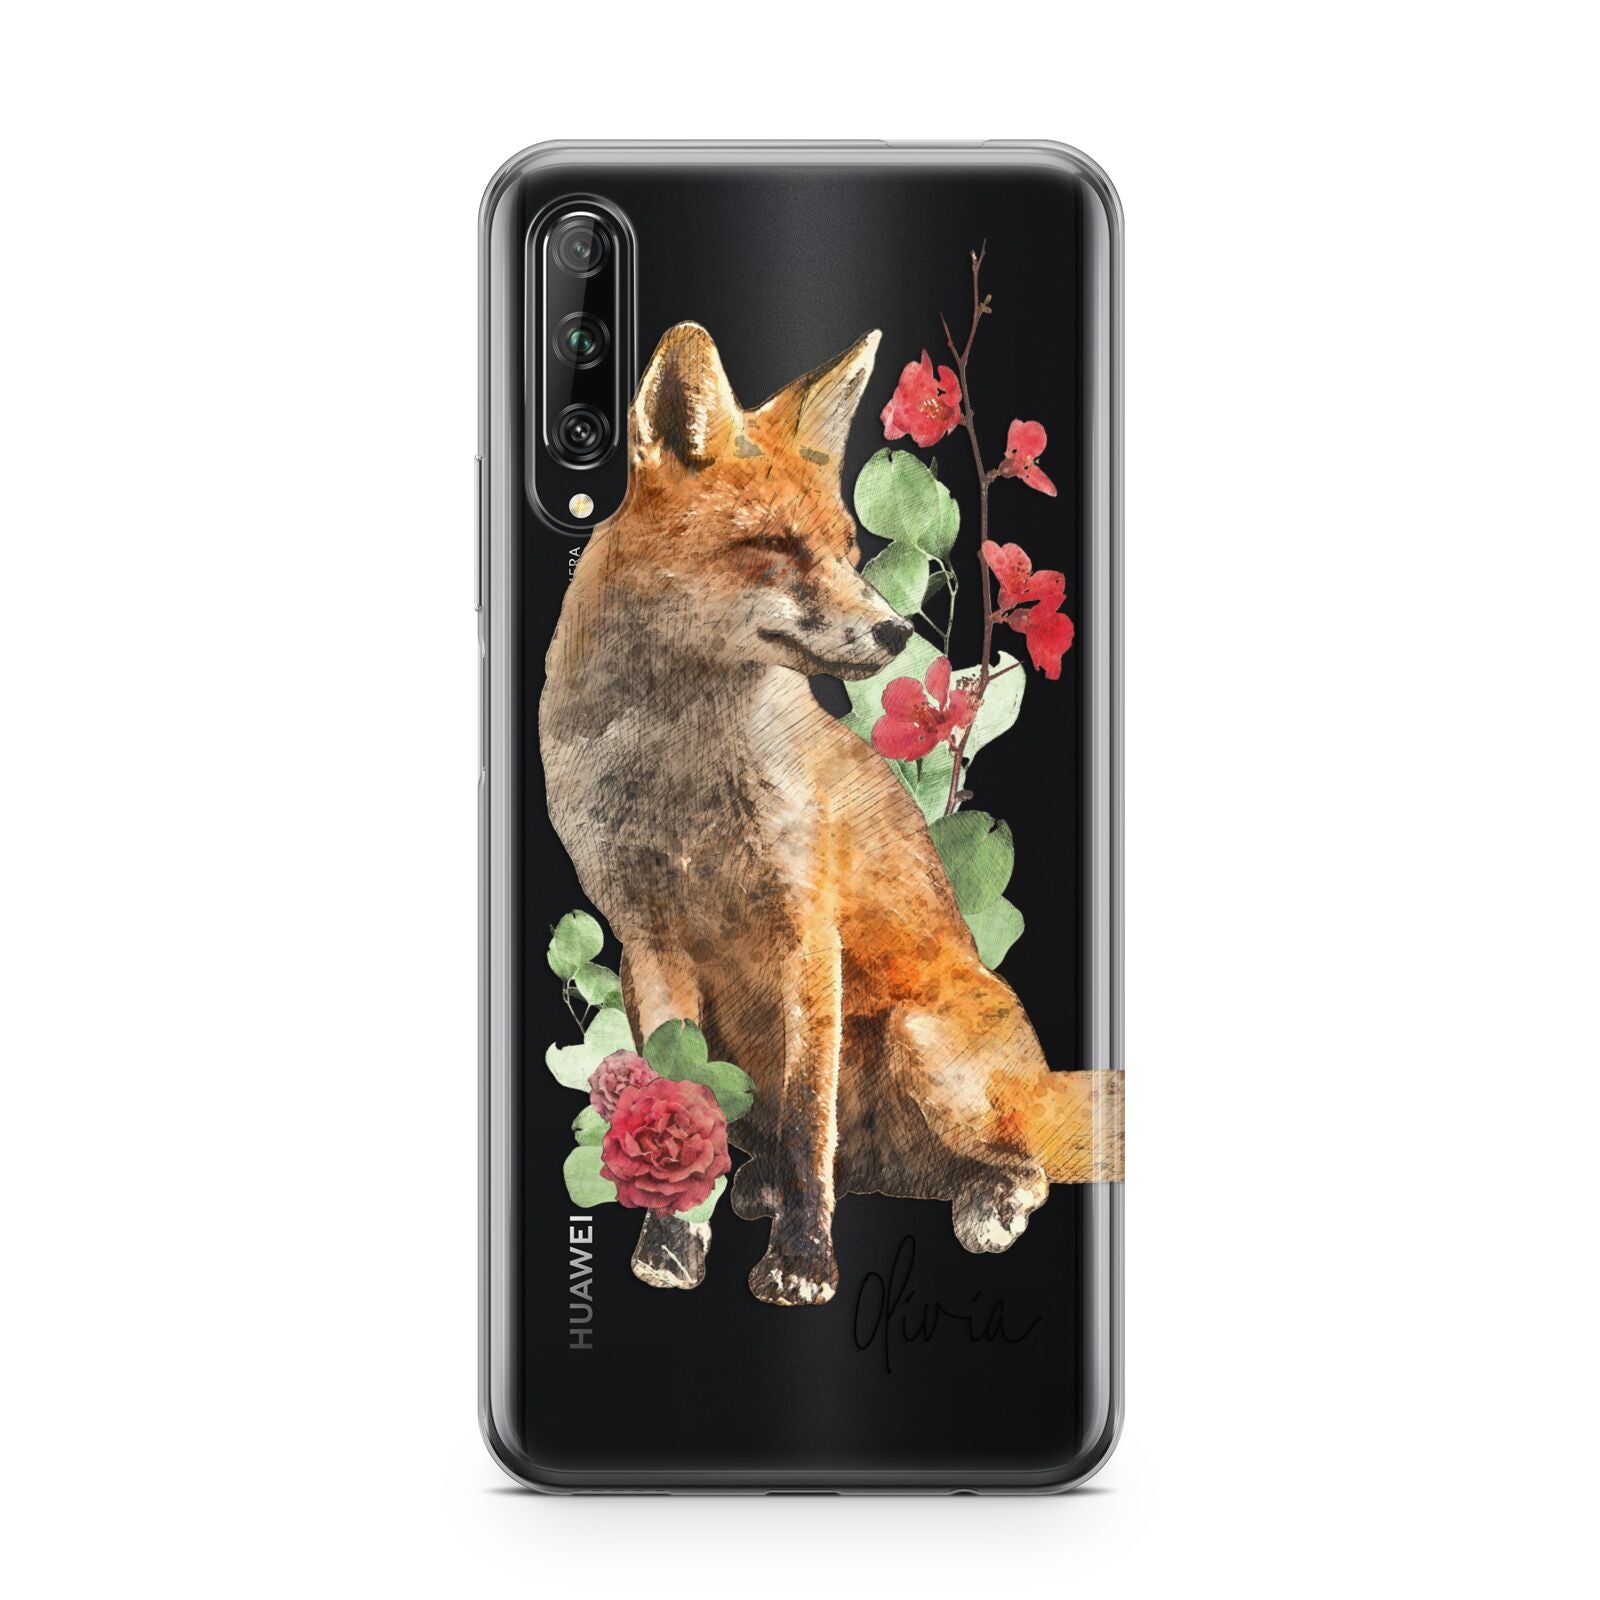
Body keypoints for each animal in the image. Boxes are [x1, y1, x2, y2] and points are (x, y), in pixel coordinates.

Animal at [539, 323, 1123, 1308]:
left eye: (849, 547)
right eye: (775, 544)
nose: (895, 633)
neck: (676, 777)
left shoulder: (807, 932)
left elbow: (812, 1118)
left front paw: (803, 1260)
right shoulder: (646, 944)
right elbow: (676, 1098)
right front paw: (673, 1239)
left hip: (923, 1040)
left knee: (1018, 1163)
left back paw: (986, 1203)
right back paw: (759, 1186)